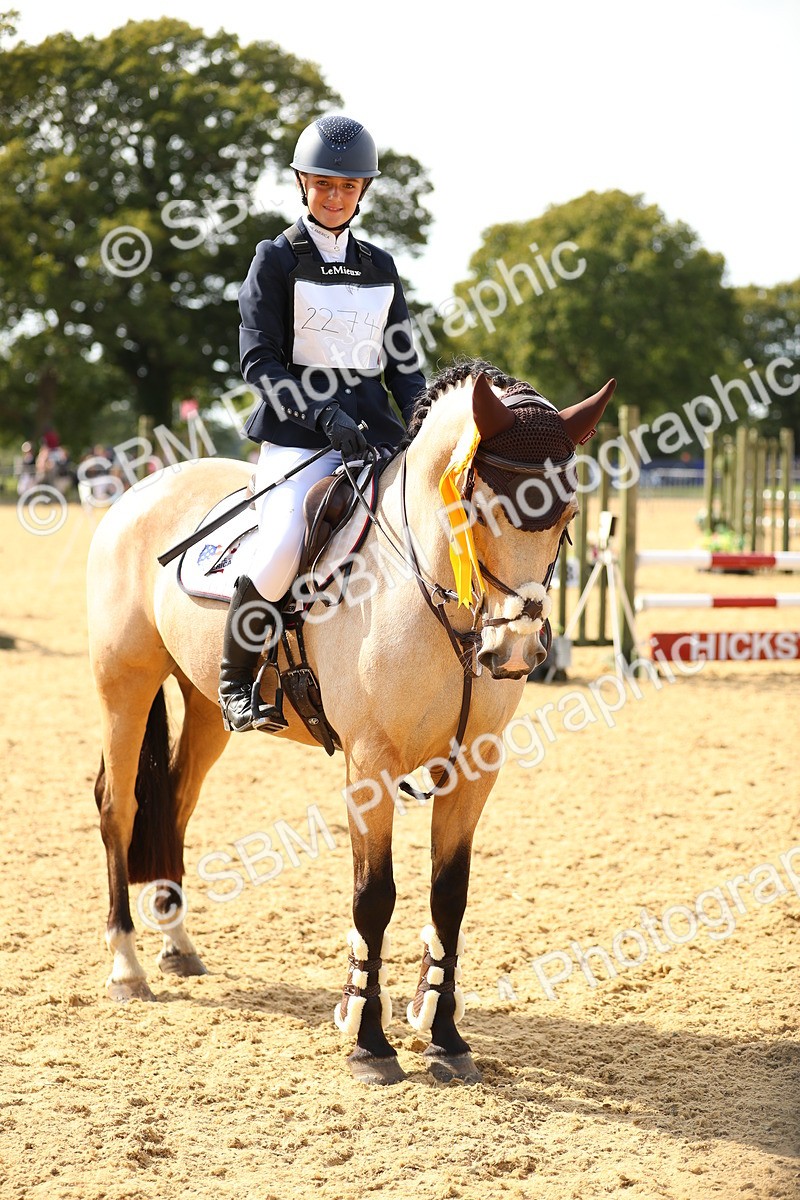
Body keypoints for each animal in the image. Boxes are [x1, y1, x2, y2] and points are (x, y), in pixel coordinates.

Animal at [87, 358, 615, 1085]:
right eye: (477, 508)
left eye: (567, 514)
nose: (513, 652)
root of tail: (143, 486)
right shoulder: (370, 764)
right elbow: (374, 896)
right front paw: (369, 1041)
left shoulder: (475, 765)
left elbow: (449, 894)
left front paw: (444, 1035)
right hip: (126, 685)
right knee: (121, 806)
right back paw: (126, 967)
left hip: (206, 708)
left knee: (176, 803)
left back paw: (178, 945)